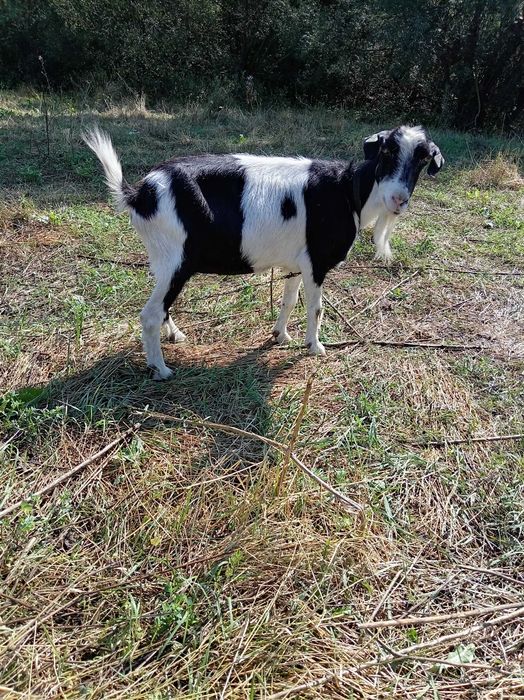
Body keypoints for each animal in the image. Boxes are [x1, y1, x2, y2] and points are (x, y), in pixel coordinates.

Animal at [84, 125, 443, 379]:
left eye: (423, 159)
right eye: (386, 151)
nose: (398, 199)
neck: (348, 192)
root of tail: (139, 193)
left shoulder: (298, 263)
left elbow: (289, 300)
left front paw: (281, 335)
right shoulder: (317, 263)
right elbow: (316, 309)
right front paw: (315, 347)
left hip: (165, 262)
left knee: (161, 307)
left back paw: (176, 336)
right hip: (177, 260)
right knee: (150, 314)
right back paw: (161, 369)